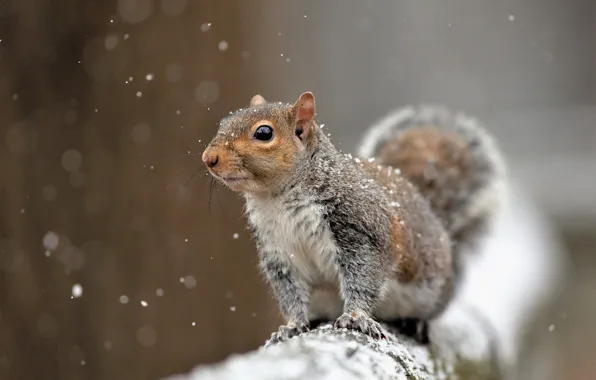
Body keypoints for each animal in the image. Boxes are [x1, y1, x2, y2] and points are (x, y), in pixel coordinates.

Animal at [203, 91, 506, 344]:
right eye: (224, 122)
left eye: (264, 133)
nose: (209, 158)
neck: (276, 199)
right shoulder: (277, 252)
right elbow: (290, 293)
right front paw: (292, 325)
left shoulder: (360, 231)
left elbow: (363, 279)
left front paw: (356, 317)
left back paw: (417, 322)